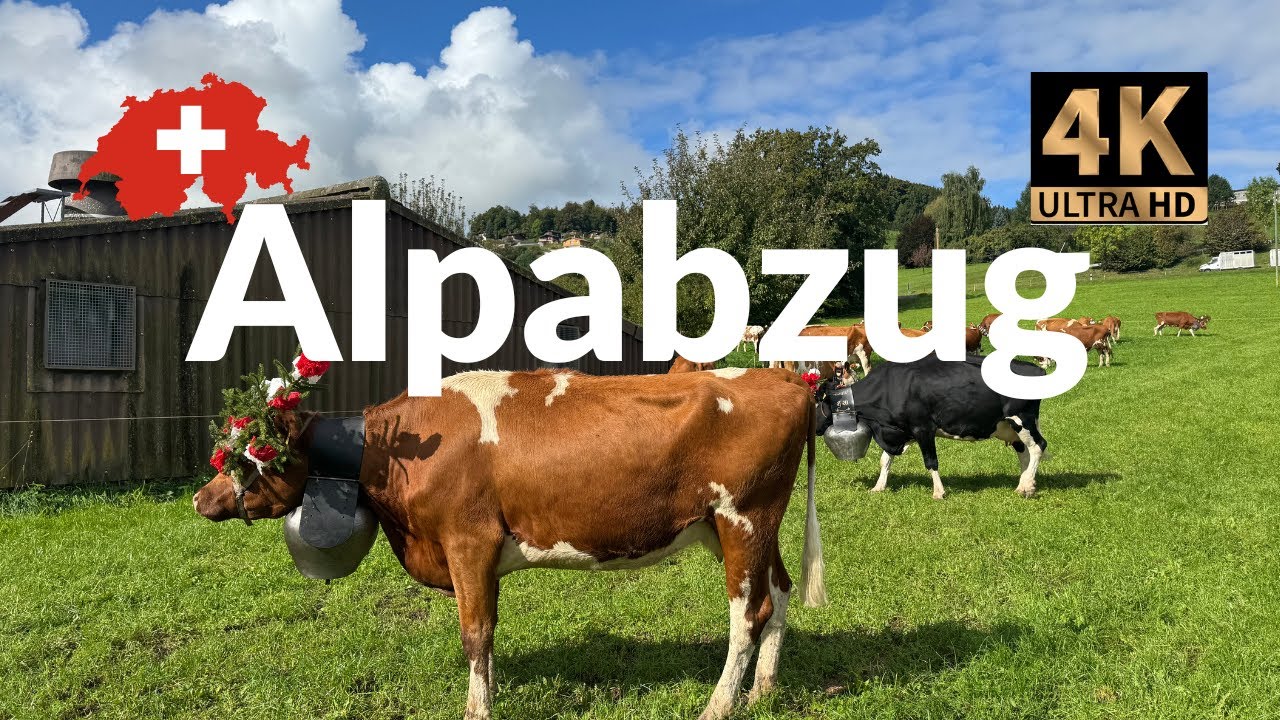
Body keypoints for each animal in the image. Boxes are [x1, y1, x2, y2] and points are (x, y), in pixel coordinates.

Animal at [194, 369, 826, 720]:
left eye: (249, 455)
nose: (201, 499)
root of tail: (782, 377)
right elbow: (488, 635)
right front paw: (491, 691)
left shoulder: (468, 541)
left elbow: (475, 633)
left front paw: (477, 709)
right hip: (738, 527)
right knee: (779, 593)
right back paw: (763, 690)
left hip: (743, 518)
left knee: (748, 612)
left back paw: (718, 705)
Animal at [815, 356, 1049, 500]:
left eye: (818, 402)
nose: (815, 428)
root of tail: (1034, 368)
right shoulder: (899, 431)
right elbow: (885, 460)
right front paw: (878, 487)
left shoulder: (923, 428)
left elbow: (931, 461)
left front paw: (938, 492)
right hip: (1009, 426)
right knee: (1025, 453)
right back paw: (1023, 485)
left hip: (1022, 419)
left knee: (1039, 446)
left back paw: (1028, 485)